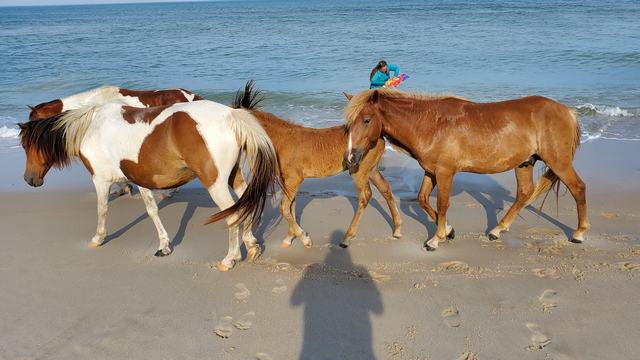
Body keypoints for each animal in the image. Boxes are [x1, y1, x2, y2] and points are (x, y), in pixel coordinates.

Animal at [18, 99, 278, 270]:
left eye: (27, 145)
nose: (29, 180)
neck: (92, 126)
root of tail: (231, 116)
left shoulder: (100, 180)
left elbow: (102, 210)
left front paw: (98, 238)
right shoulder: (139, 179)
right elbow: (152, 211)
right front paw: (164, 246)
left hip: (216, 184)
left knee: (232, 215)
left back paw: (229, 259)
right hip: (234, 177)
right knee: (245, 206)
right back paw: (251, 245)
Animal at [344, 89, 592, 252]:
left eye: (367, 120)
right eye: (350, 124)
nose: (350, 158)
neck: (431, 124)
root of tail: (568, 111)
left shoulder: (445, 172)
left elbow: (442, 203)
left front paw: (436, 239)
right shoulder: (431, 171)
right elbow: (423, 199)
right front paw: (448, 230)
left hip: (559, 162)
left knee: (578, 188)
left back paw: (579, 233)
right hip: (524, 163)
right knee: (523, 194)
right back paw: (497, 230)